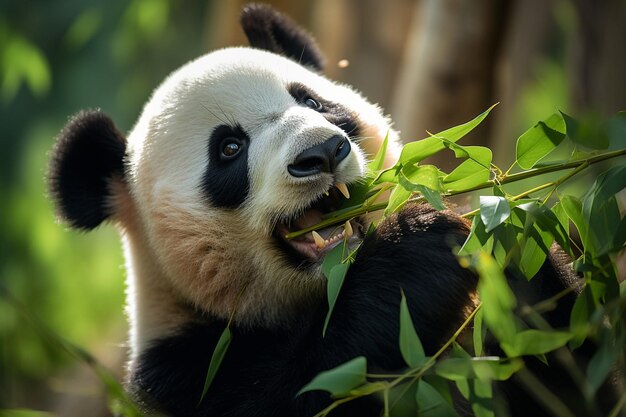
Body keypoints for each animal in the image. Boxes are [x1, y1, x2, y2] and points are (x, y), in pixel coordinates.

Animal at [47, 3, 616, 416]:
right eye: (228, 148)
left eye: (313, 102)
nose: (321, 152)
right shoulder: (186, 370)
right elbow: (312, 385)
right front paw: (419, 250)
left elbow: (574, 375)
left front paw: (506, 240)